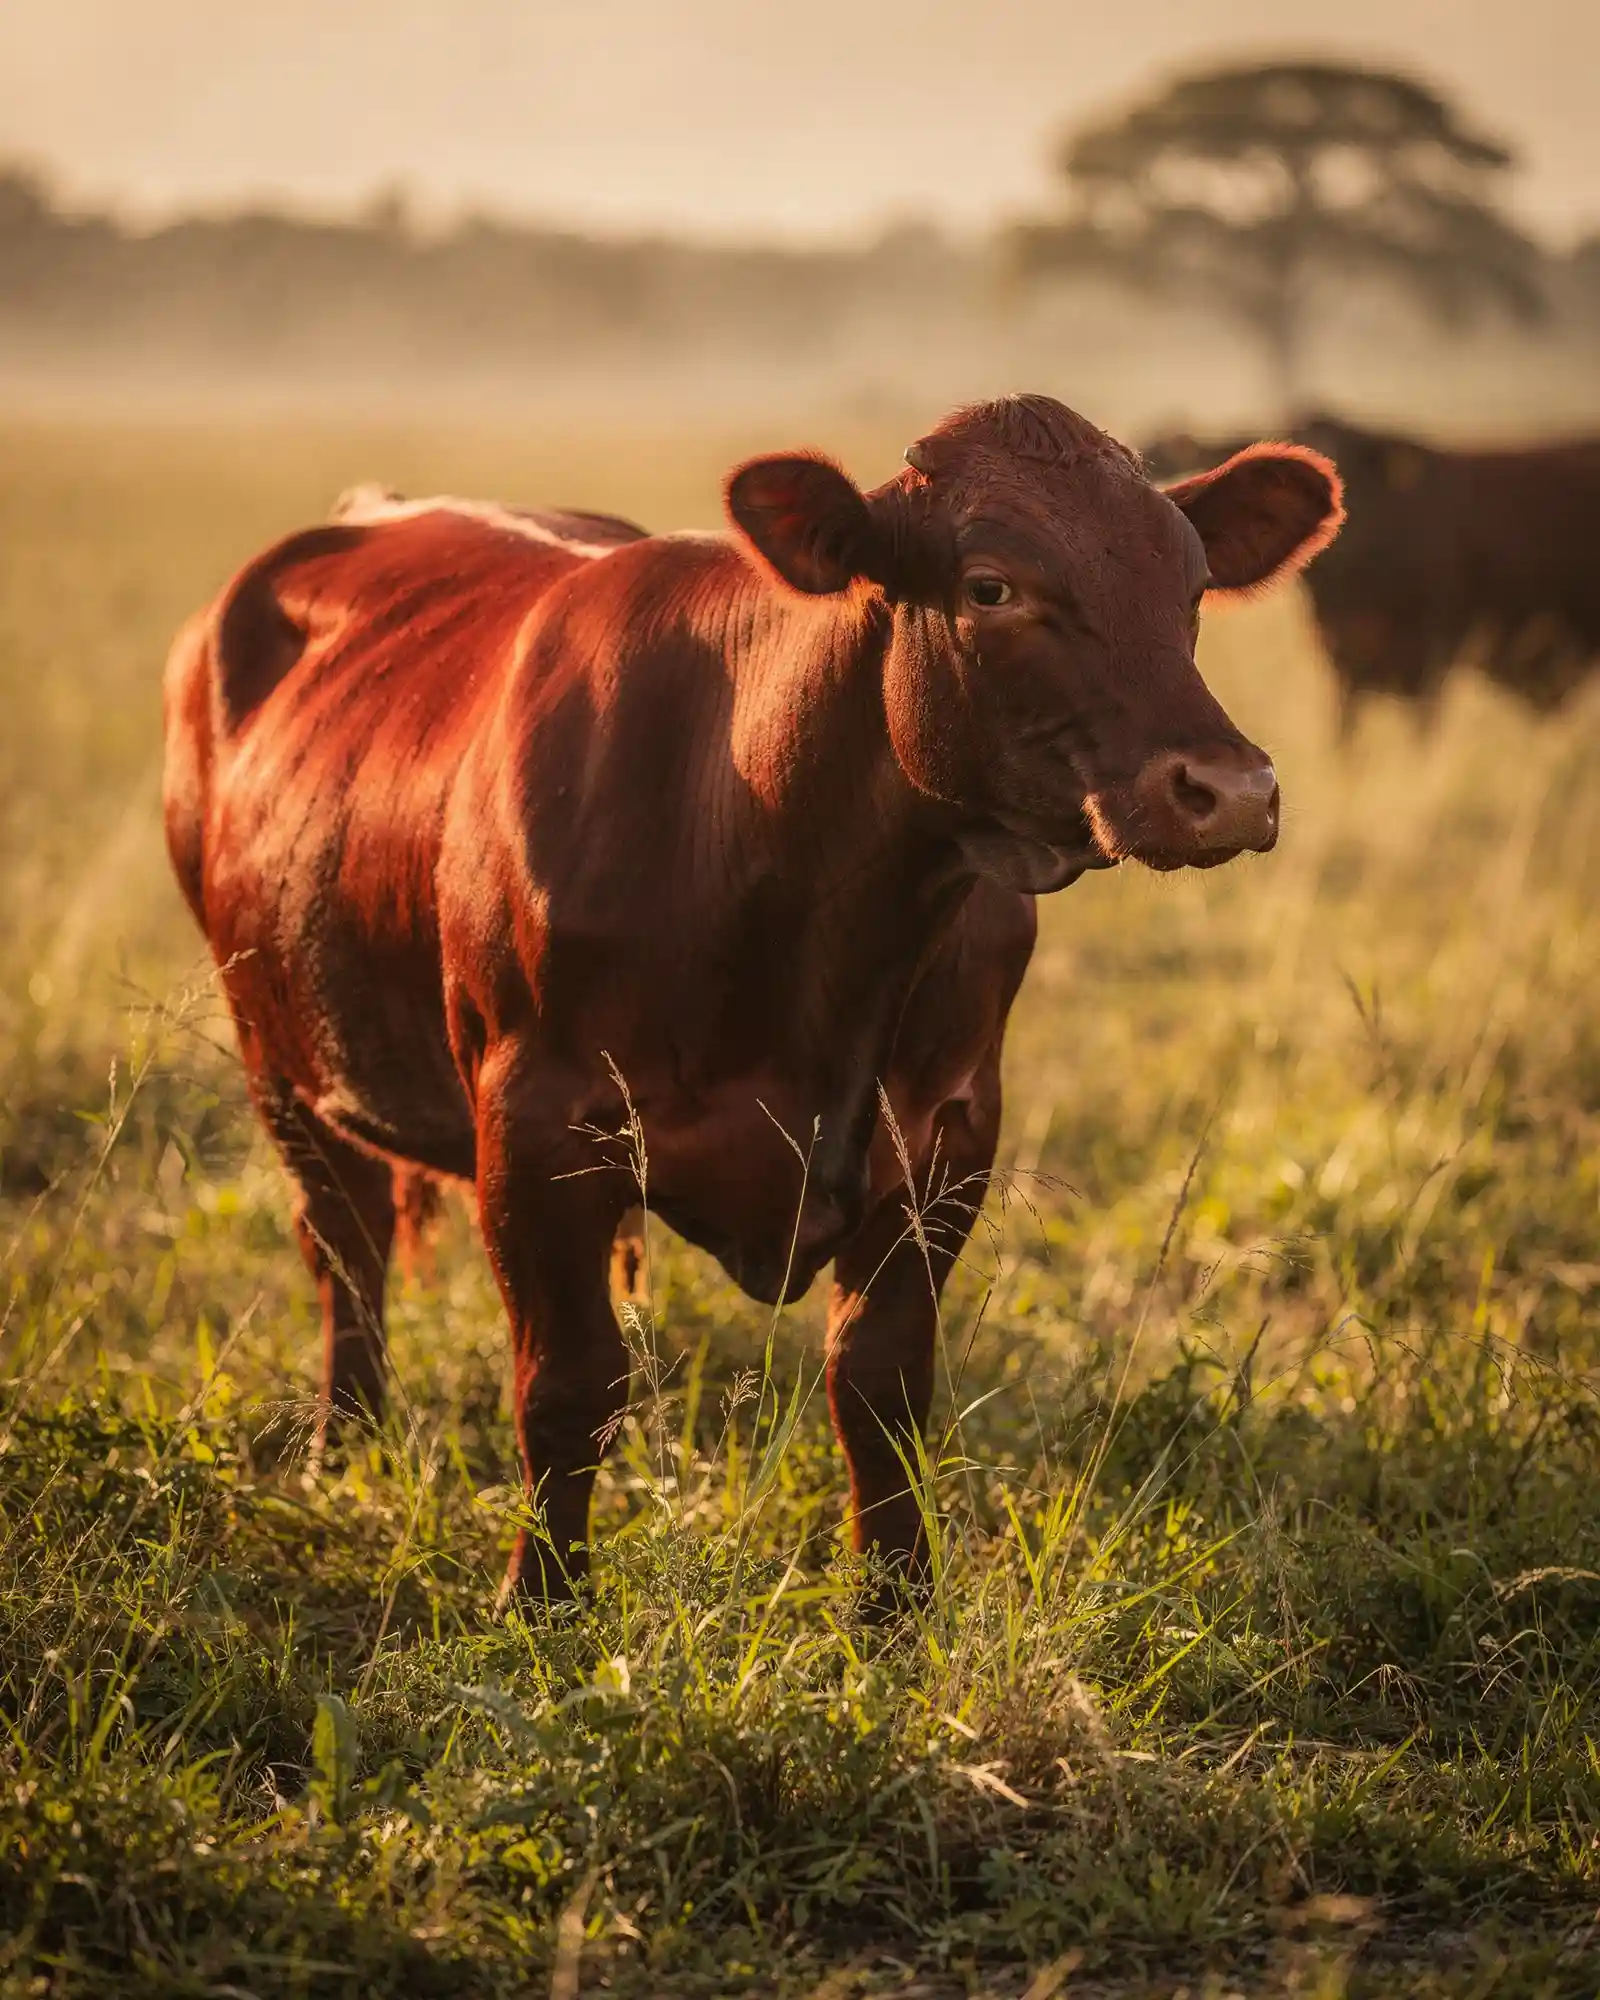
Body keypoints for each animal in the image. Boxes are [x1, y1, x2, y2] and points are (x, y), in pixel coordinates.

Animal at [162, 393, 1341, 1607]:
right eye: (989, 586)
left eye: (1190, 585)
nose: (1227, 789)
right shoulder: (535, 1122)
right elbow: (568, 1381)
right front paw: (540, 1597)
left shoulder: (950, 1132)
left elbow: (879, 1381)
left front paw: (896, 1602)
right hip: (274, 1050)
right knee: (344, 1250)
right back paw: (341, 1451)